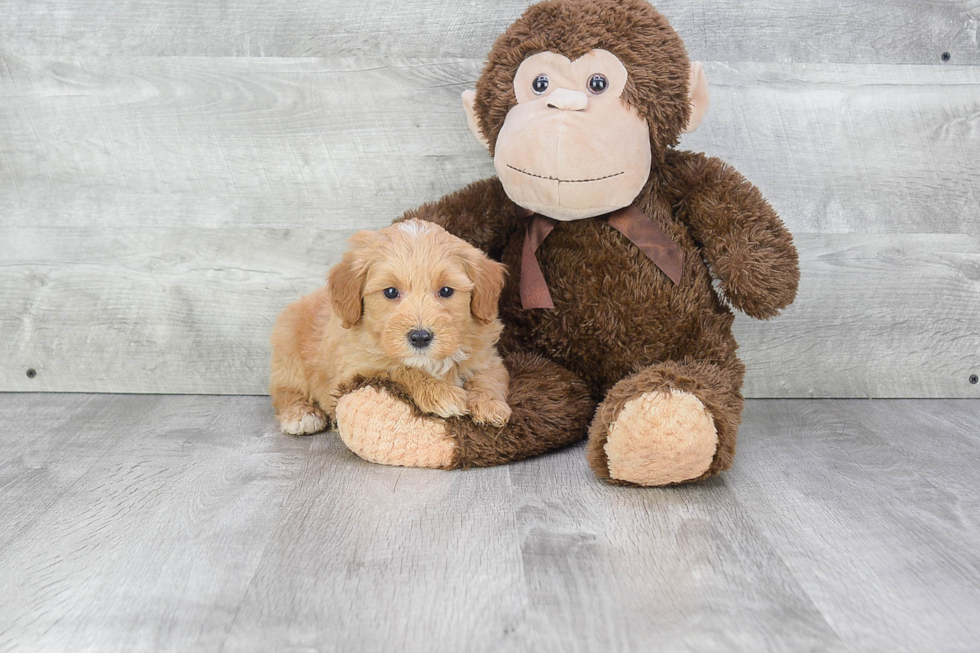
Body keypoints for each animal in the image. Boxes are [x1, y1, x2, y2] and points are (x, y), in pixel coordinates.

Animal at [270, 216, 512, 436]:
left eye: (445, 291)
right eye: (390, 292)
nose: (420, 337)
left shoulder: (487, 356)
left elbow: (489, 377)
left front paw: (490, 404)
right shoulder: (355, 371)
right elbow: (401, 371)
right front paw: (443, 394)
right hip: (288, 353)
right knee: (284, 391)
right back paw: (301, 415)